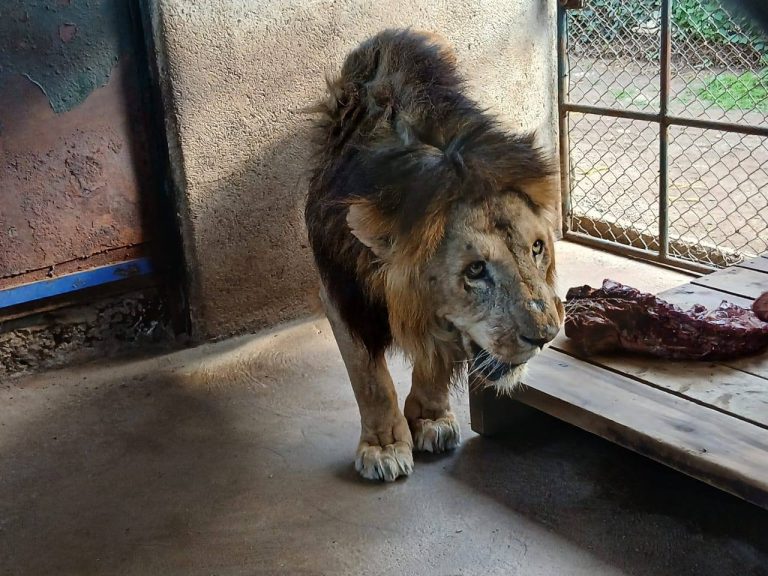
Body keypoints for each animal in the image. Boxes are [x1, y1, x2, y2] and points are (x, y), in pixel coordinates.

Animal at [305, 29, 564, 482]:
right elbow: (369, 377)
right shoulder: (340, 292)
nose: (546, 336)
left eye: (537, 248)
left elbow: (437, 356)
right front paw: (383, 446)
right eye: (475, 270)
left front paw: (430, 418)